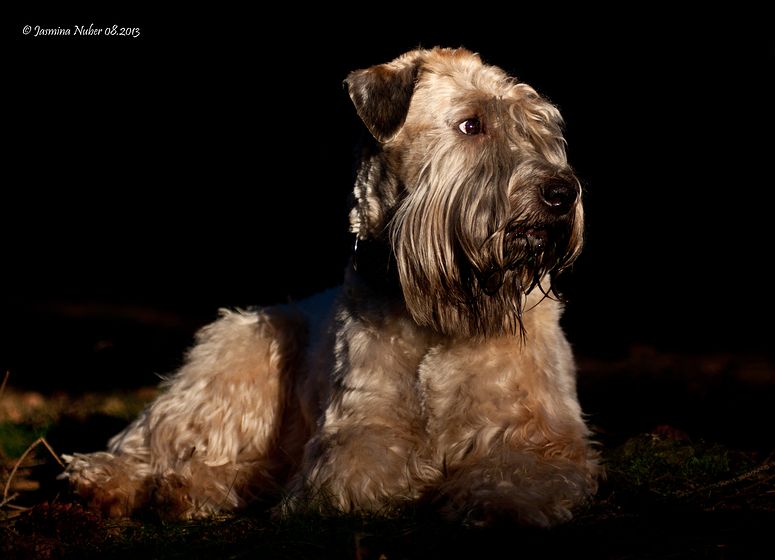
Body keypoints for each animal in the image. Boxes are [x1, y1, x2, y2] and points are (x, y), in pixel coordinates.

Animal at [62, 47, 608, 524]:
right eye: (471, 124)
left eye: (539, 128)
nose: (562, 192)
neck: (438, 315)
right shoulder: (358, 429)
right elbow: (361, 473)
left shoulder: (542, 431)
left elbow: (522, 469)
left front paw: (497, 500)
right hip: (239, 351)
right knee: (154, 439)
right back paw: (116, 482)